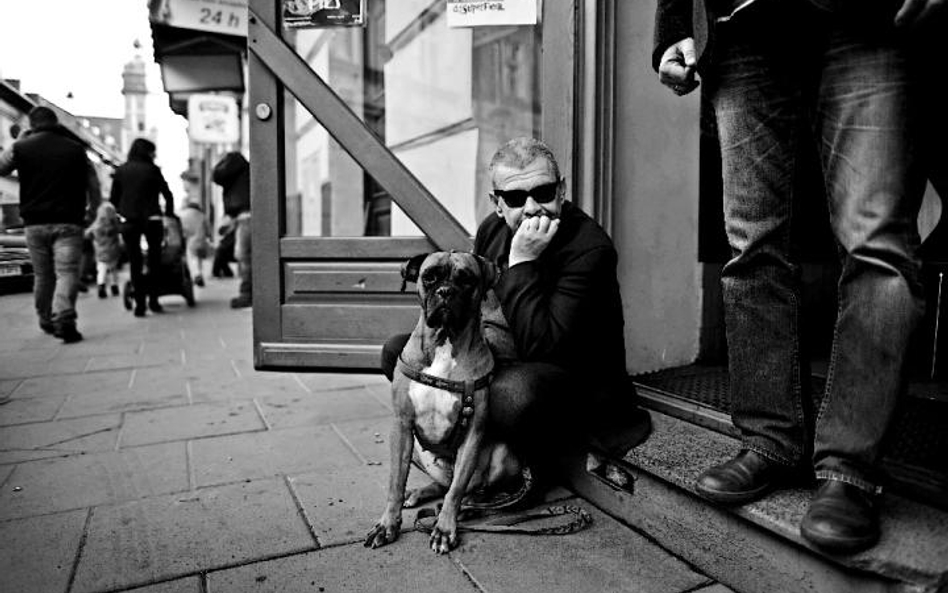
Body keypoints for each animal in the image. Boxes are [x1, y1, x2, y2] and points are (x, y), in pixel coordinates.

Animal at [364, 251, 524, 556]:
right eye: (429, 276)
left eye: (467, 279)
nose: (446, 291)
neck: (444, 340)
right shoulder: (401, 427)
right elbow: (395, 483)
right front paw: (387, 524)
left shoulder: (473, 433)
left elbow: (456, 491)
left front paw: (445, 529)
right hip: (415, 449)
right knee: (441, 484)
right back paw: (418, 493)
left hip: (503, 455)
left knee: (471, 490)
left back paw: (467, 509)